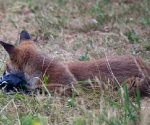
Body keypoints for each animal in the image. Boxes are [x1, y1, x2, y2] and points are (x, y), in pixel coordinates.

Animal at [0, 30, 150, 95]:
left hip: (130, 85)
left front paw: (13, 89)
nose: (2, 76)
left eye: (6, 66)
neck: (42, 70)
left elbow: (31, 91)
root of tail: (144, 67)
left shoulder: (62, 89)